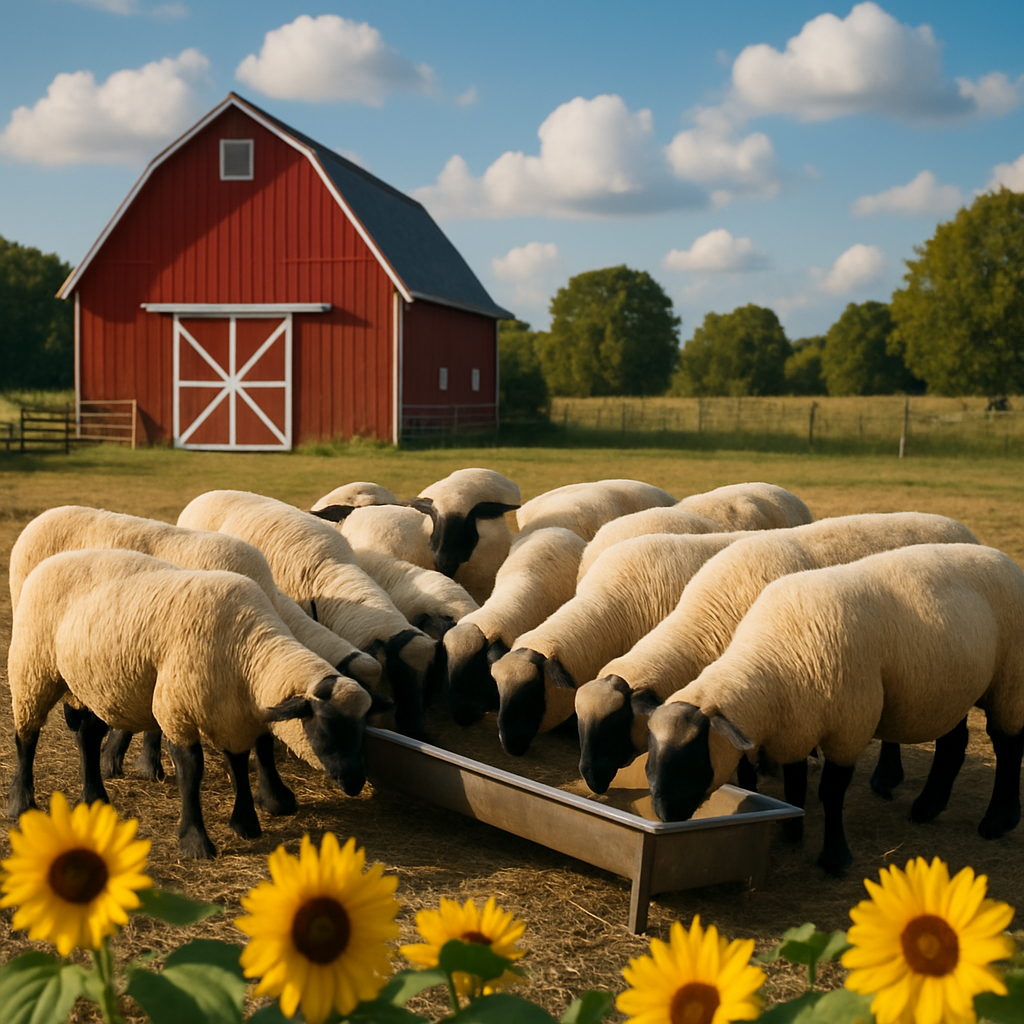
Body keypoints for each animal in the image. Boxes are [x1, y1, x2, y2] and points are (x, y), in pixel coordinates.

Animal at [7, 549, 392, 859]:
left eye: (361, 728)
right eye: (326, 729)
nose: (356, 783)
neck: (249, 649)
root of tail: (52, 561)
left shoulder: (234, 712)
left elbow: (239, 761)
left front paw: (246, 823)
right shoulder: (176, 708)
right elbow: (192, 770)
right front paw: (195, 842)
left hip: (103, 684)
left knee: (87, 735)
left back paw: (94, 799)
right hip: (33, 668)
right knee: (26, 736)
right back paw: (21, 802)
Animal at [645, 542, 1024, 873]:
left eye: (695, 761)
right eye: (650, 762)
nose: (664, 815)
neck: (772, 665)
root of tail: (1000, 556)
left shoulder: (850, 726)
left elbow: (831, 791)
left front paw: (835, 858)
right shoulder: (797, 722)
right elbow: (795, 783)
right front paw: (791, 832)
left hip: (1010, 678)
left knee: (1007, 744)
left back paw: (998, 821)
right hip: (950, 686)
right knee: (953, 742)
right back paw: (928, 806)